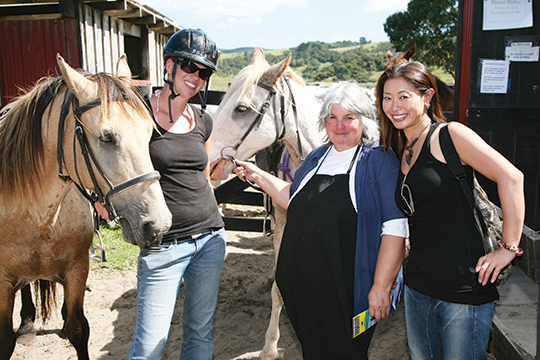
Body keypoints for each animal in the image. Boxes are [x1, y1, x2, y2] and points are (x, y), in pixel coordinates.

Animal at [0, 54, 172, 360]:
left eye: (149, 134)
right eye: (107, 137)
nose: (157, 225)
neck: (40, 216)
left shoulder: (77, 268)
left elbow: (78, 328)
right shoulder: (1, 285)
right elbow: (5, 340)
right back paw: (28, 324)